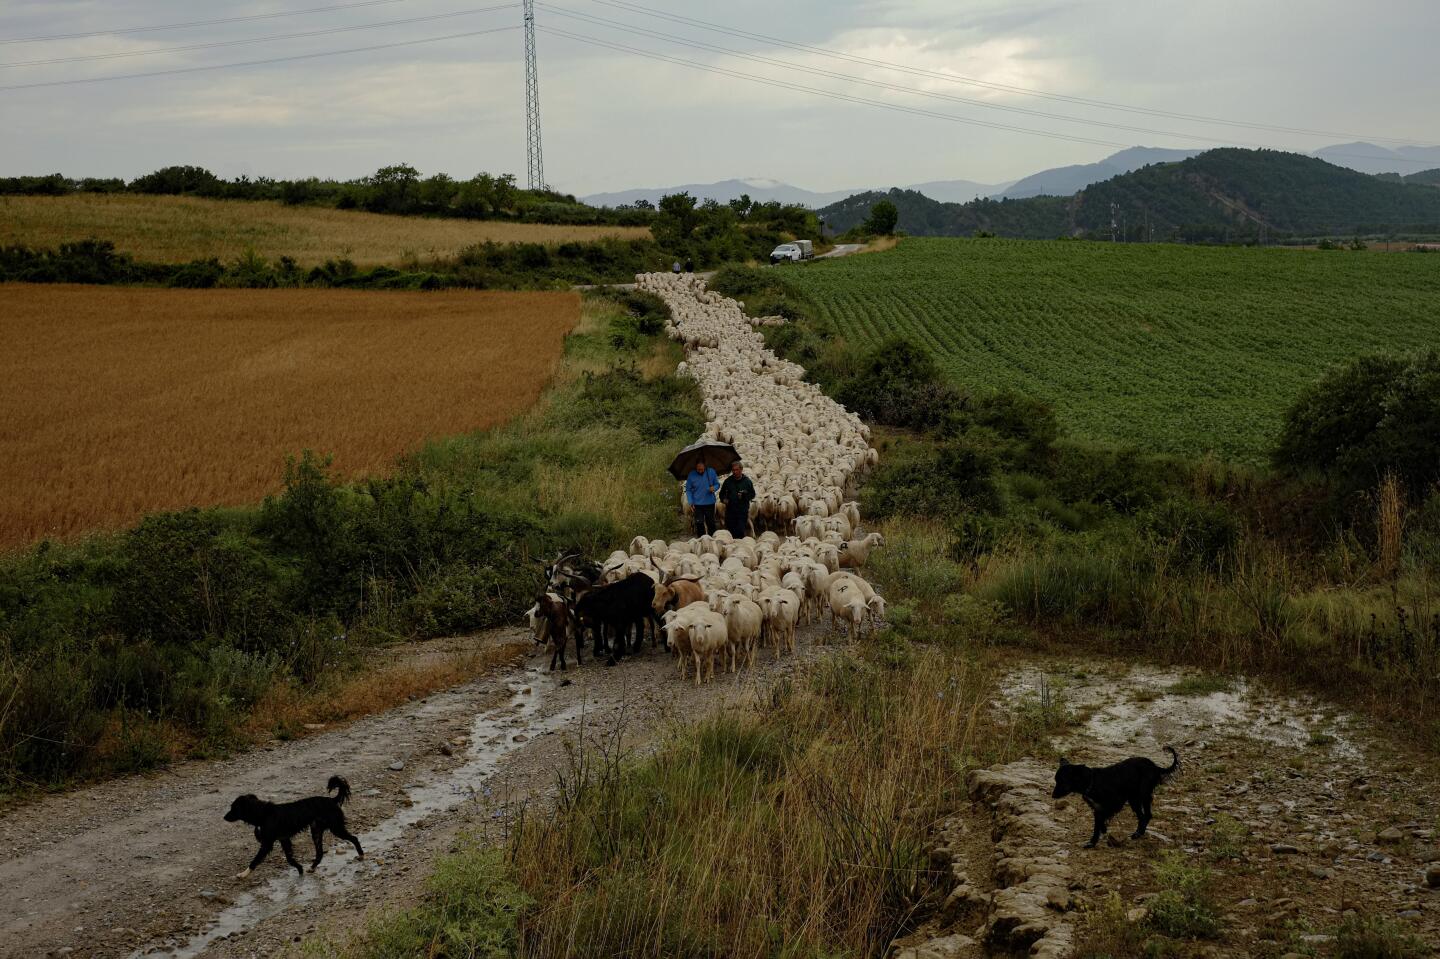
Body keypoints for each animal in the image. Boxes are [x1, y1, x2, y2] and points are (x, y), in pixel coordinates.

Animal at [224, 771, 362, 875]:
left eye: (233, 808)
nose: (224, 817)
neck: (263, 814)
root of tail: (332, 800)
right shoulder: (283, 839)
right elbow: (289, 858)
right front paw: (300, 869)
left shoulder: (268, 843)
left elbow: (256, 860)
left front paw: (243, 874)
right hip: (316, 831)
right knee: (319, 853)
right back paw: (312, 867)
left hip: (335, 827)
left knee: (354, 838)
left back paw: (361, 855)